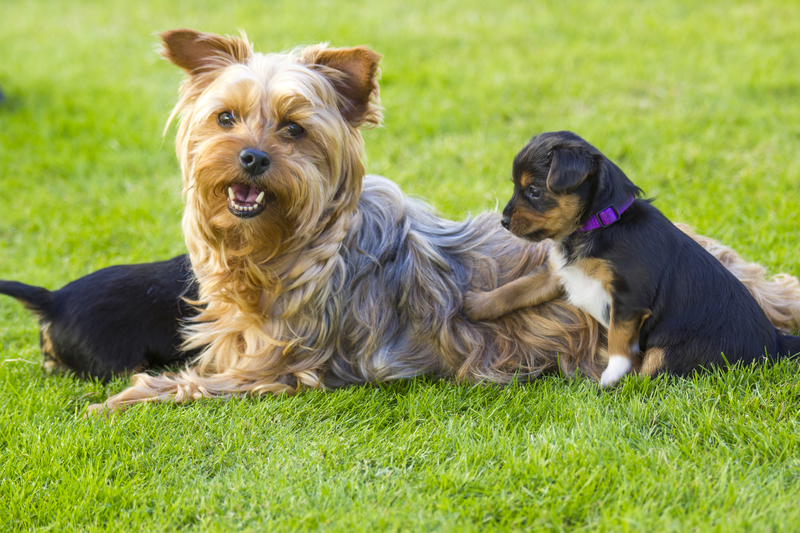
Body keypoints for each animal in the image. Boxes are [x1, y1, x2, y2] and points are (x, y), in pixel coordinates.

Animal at [462, 130, 800, 384]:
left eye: (533, 191)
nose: (503, 221)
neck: (600, 225)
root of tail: (775, 342)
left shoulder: (629, 298)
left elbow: (618, 341)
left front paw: (610, 377)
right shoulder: (558, 274)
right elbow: (515, 291)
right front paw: (476, 304)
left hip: (670, 350)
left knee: (653, 373)